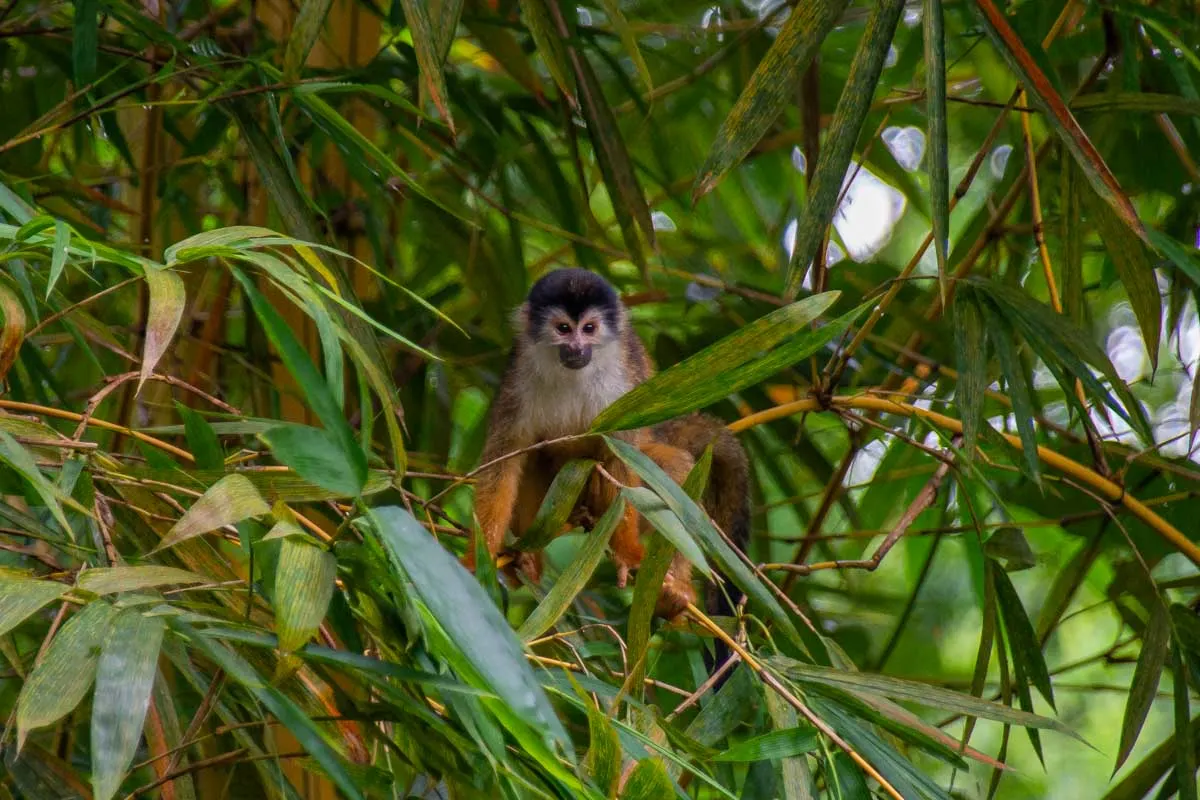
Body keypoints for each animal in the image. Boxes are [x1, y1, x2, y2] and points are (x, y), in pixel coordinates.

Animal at [468, 268, 748, 618]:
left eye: (589, 329)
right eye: (563, 329)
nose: (577, 347)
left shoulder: (622, 389)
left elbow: (622, 459)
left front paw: (627, 553)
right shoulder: (517, 377)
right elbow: (503, 462)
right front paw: (478, 555)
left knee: (675, 471)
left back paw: (674, 588)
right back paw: (527, 557)